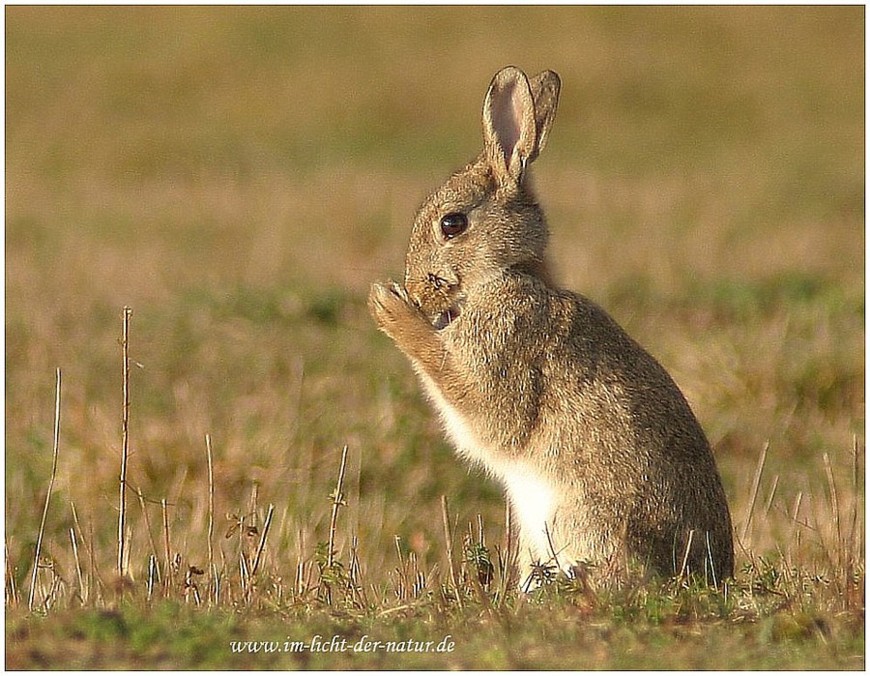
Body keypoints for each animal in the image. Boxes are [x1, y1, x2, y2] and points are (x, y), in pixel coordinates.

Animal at [370, 66, 736, 588]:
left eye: (452, 223)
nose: (415, 290)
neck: (509, 273)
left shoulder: (504, 349)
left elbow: (484, 408)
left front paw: (389, 307)